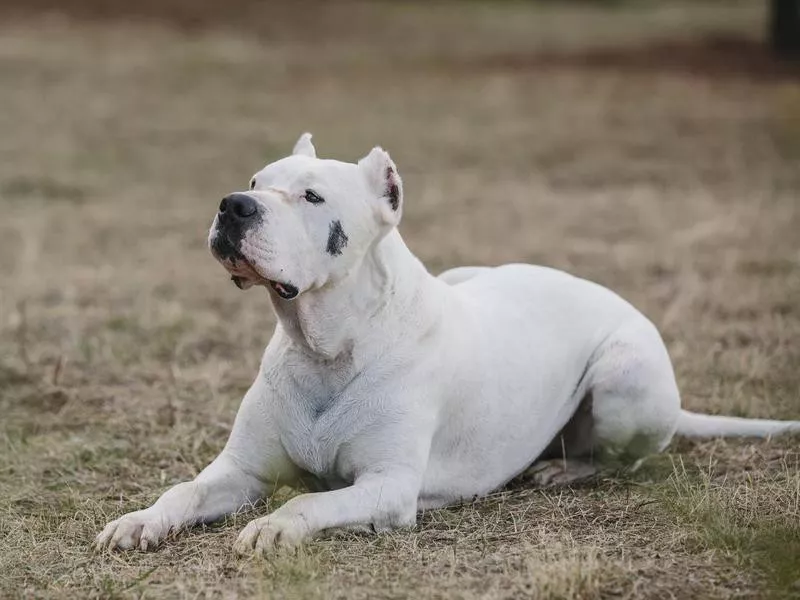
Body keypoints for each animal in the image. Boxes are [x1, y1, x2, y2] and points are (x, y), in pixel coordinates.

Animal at [95, 135, 800, 552]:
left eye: (312, 196)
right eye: (254, 178)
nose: (233, 205)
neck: (327, 346)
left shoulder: (388, 488)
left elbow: (312, 502)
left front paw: (271, 525)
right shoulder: (239, 470)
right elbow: (184, 491)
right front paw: (140, 519)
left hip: (626, 378)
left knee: (625, 458)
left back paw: (564, 467)